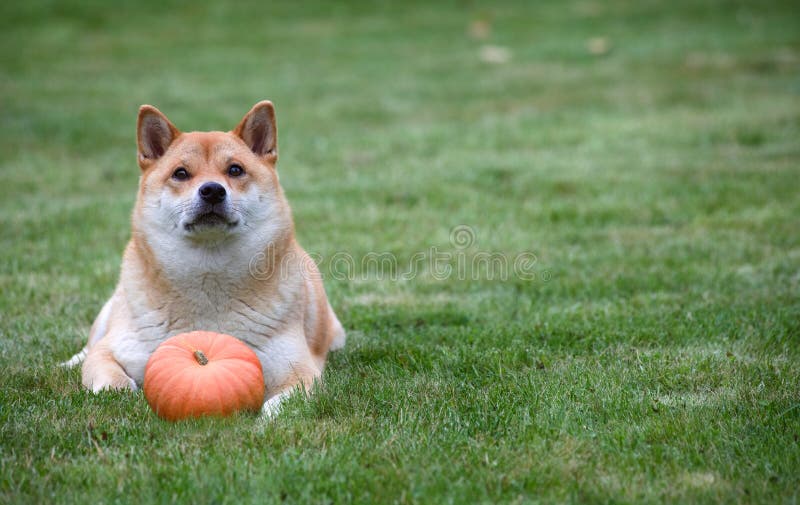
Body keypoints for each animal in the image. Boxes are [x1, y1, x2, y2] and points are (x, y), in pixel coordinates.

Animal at [64, 100, 346, 416]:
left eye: (235, 170)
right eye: (181, 173)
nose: (212, 190)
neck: (208, 277)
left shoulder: (300, 370)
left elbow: (282, 404)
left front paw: (265, 419)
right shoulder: (112, 351)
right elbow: (110, 379)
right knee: (88, 346)